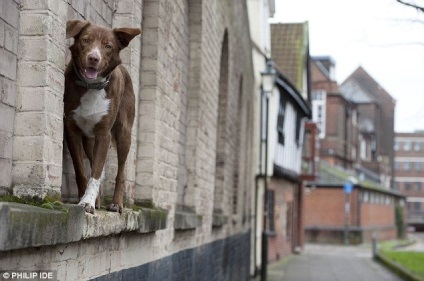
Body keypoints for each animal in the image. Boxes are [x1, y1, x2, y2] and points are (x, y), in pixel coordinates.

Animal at [64, 19, 141, 212]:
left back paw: (116, 203)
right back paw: (99, 200)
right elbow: (81, 170)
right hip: (89, 141)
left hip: (123, 133)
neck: (91, 86)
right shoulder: (72, 130)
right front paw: (84, 199)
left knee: (121, 171)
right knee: (92, 161)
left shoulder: (104, 134)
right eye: (85, 40)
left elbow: (96, 174)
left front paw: (87, 202)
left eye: (108, 46)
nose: (94, 58)